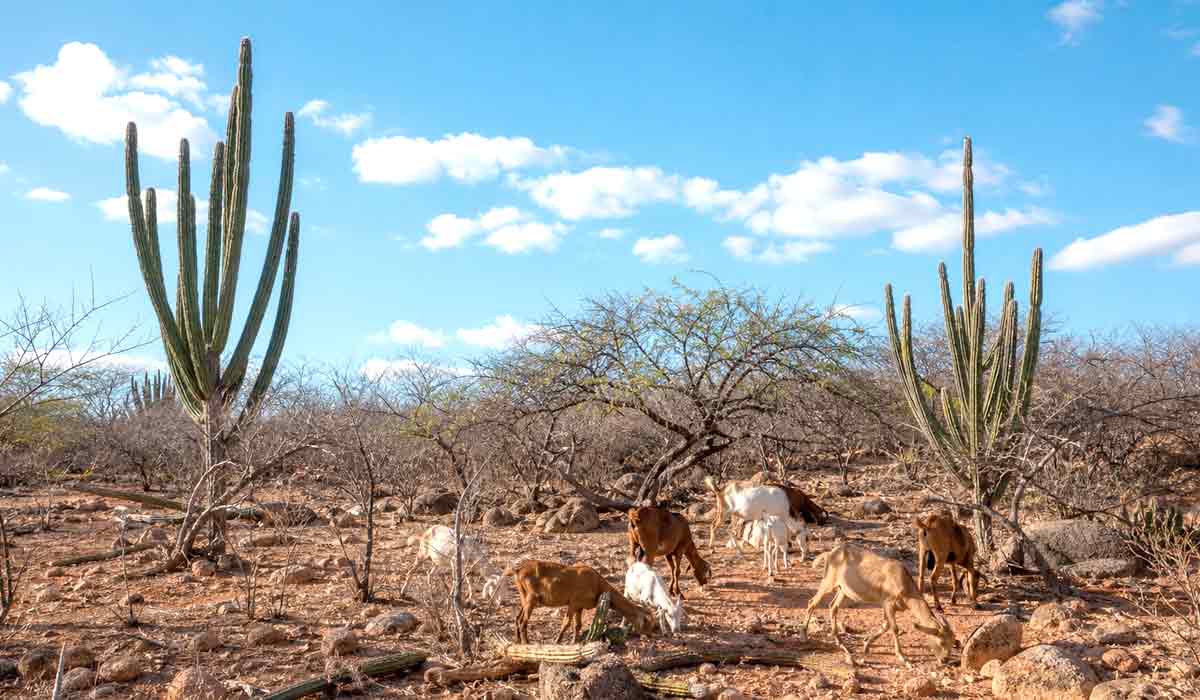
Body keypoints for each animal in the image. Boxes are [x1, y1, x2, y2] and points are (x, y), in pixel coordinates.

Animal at [506, 559, 657, 644]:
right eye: (647, 622)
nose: (650, 635)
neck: (597, 584)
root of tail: (518, 570)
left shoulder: (579, 607)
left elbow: (577, 625)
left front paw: (574, 640)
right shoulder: (573, 603)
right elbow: (566, 623)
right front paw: (557, 641)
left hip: (524, 596)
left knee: (518, 618)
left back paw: (517, 640)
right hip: (532, 598)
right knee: (523, 621)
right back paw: (526, 642)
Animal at [804, 544, 956, 667]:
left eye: (953, 641)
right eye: (941, 642)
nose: (945, 660)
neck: (902, 581)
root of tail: (830, 553)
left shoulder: (887, 606)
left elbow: (885, 626)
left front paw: (866, 647)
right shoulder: (888, 603)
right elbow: (894, 628)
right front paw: (903, 658)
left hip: (843, 590)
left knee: (833, 606)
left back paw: (839, 642)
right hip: (828, 582)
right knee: (812, 603)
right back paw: (804, 635)